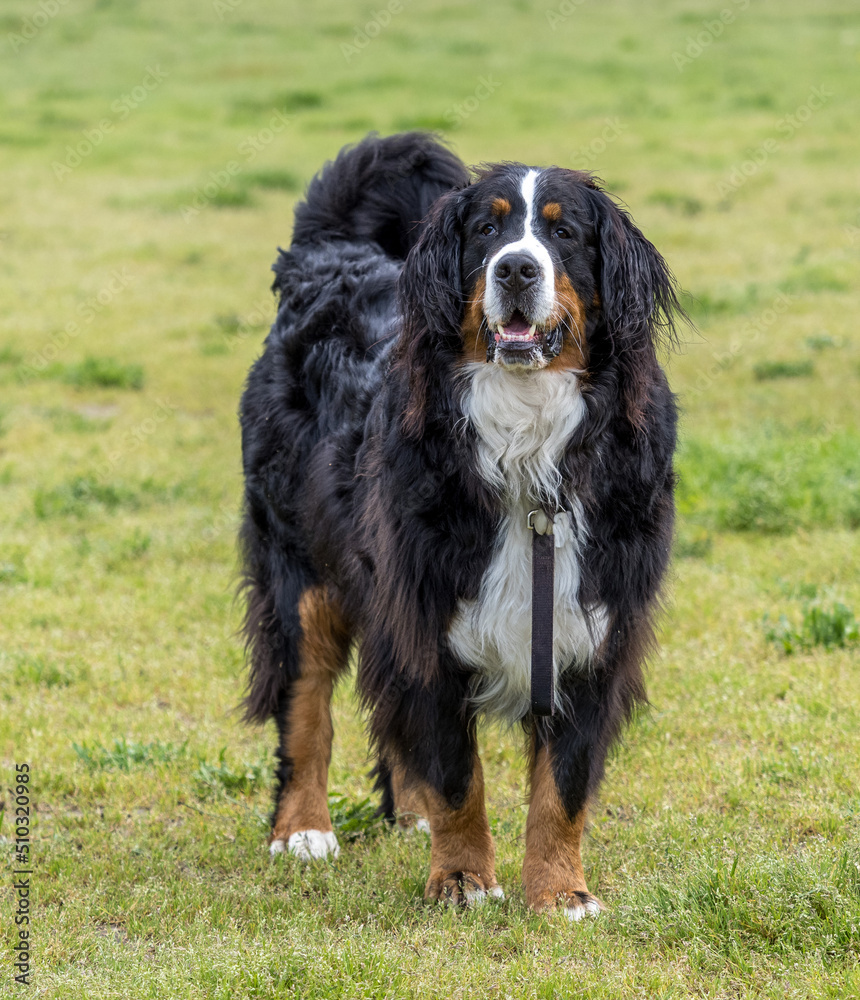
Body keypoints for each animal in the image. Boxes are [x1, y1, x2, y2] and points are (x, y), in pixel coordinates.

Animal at [239, 133, 680, 920]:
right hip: (301, 569)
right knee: (305, 702)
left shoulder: (592, 622)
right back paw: (303, 830)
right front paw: (464, 880)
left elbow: (562, 785)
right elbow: (455, 771)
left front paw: (561, 893)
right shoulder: (427, 609)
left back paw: (407, 814)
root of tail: (329, 258)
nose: (516, 268)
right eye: (486, 229)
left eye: (564, 233)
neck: (528, 437)